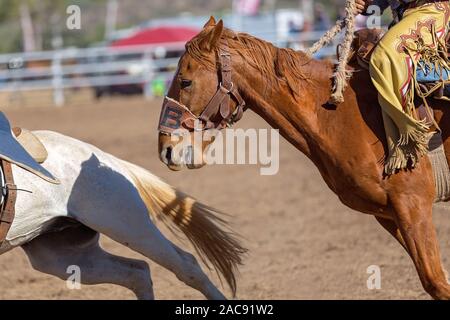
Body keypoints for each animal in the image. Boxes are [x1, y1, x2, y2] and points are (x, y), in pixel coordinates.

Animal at [159, 16, 450, 298]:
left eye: (185, 81)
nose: (166, 149)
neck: (338, 114)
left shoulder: (412, 205)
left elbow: (436, 281)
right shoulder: (388, 214)